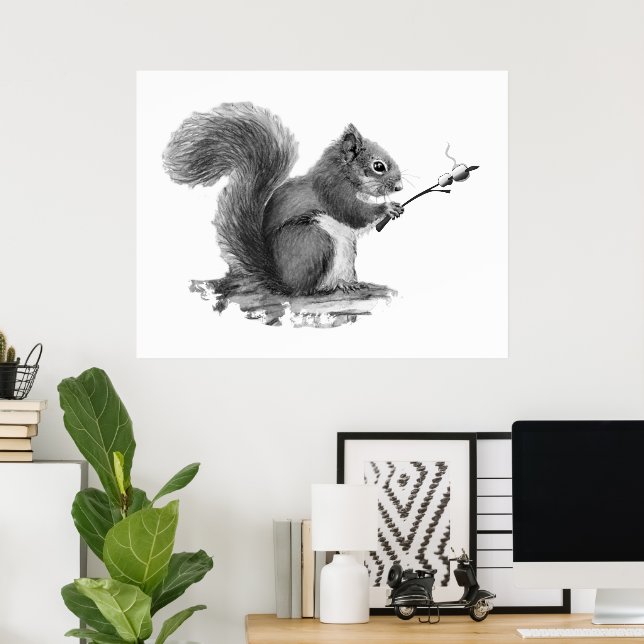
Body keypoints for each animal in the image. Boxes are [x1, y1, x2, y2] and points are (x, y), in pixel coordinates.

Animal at [163, 102, 404, 296]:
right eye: (378, 166)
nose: (399, 187)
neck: (341, 171)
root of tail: (282, 282)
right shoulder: (332, 191)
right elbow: (353, 212)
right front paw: (387, 208)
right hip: (313, 240)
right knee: (306, 289)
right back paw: (331, 286)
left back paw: (348, 283)